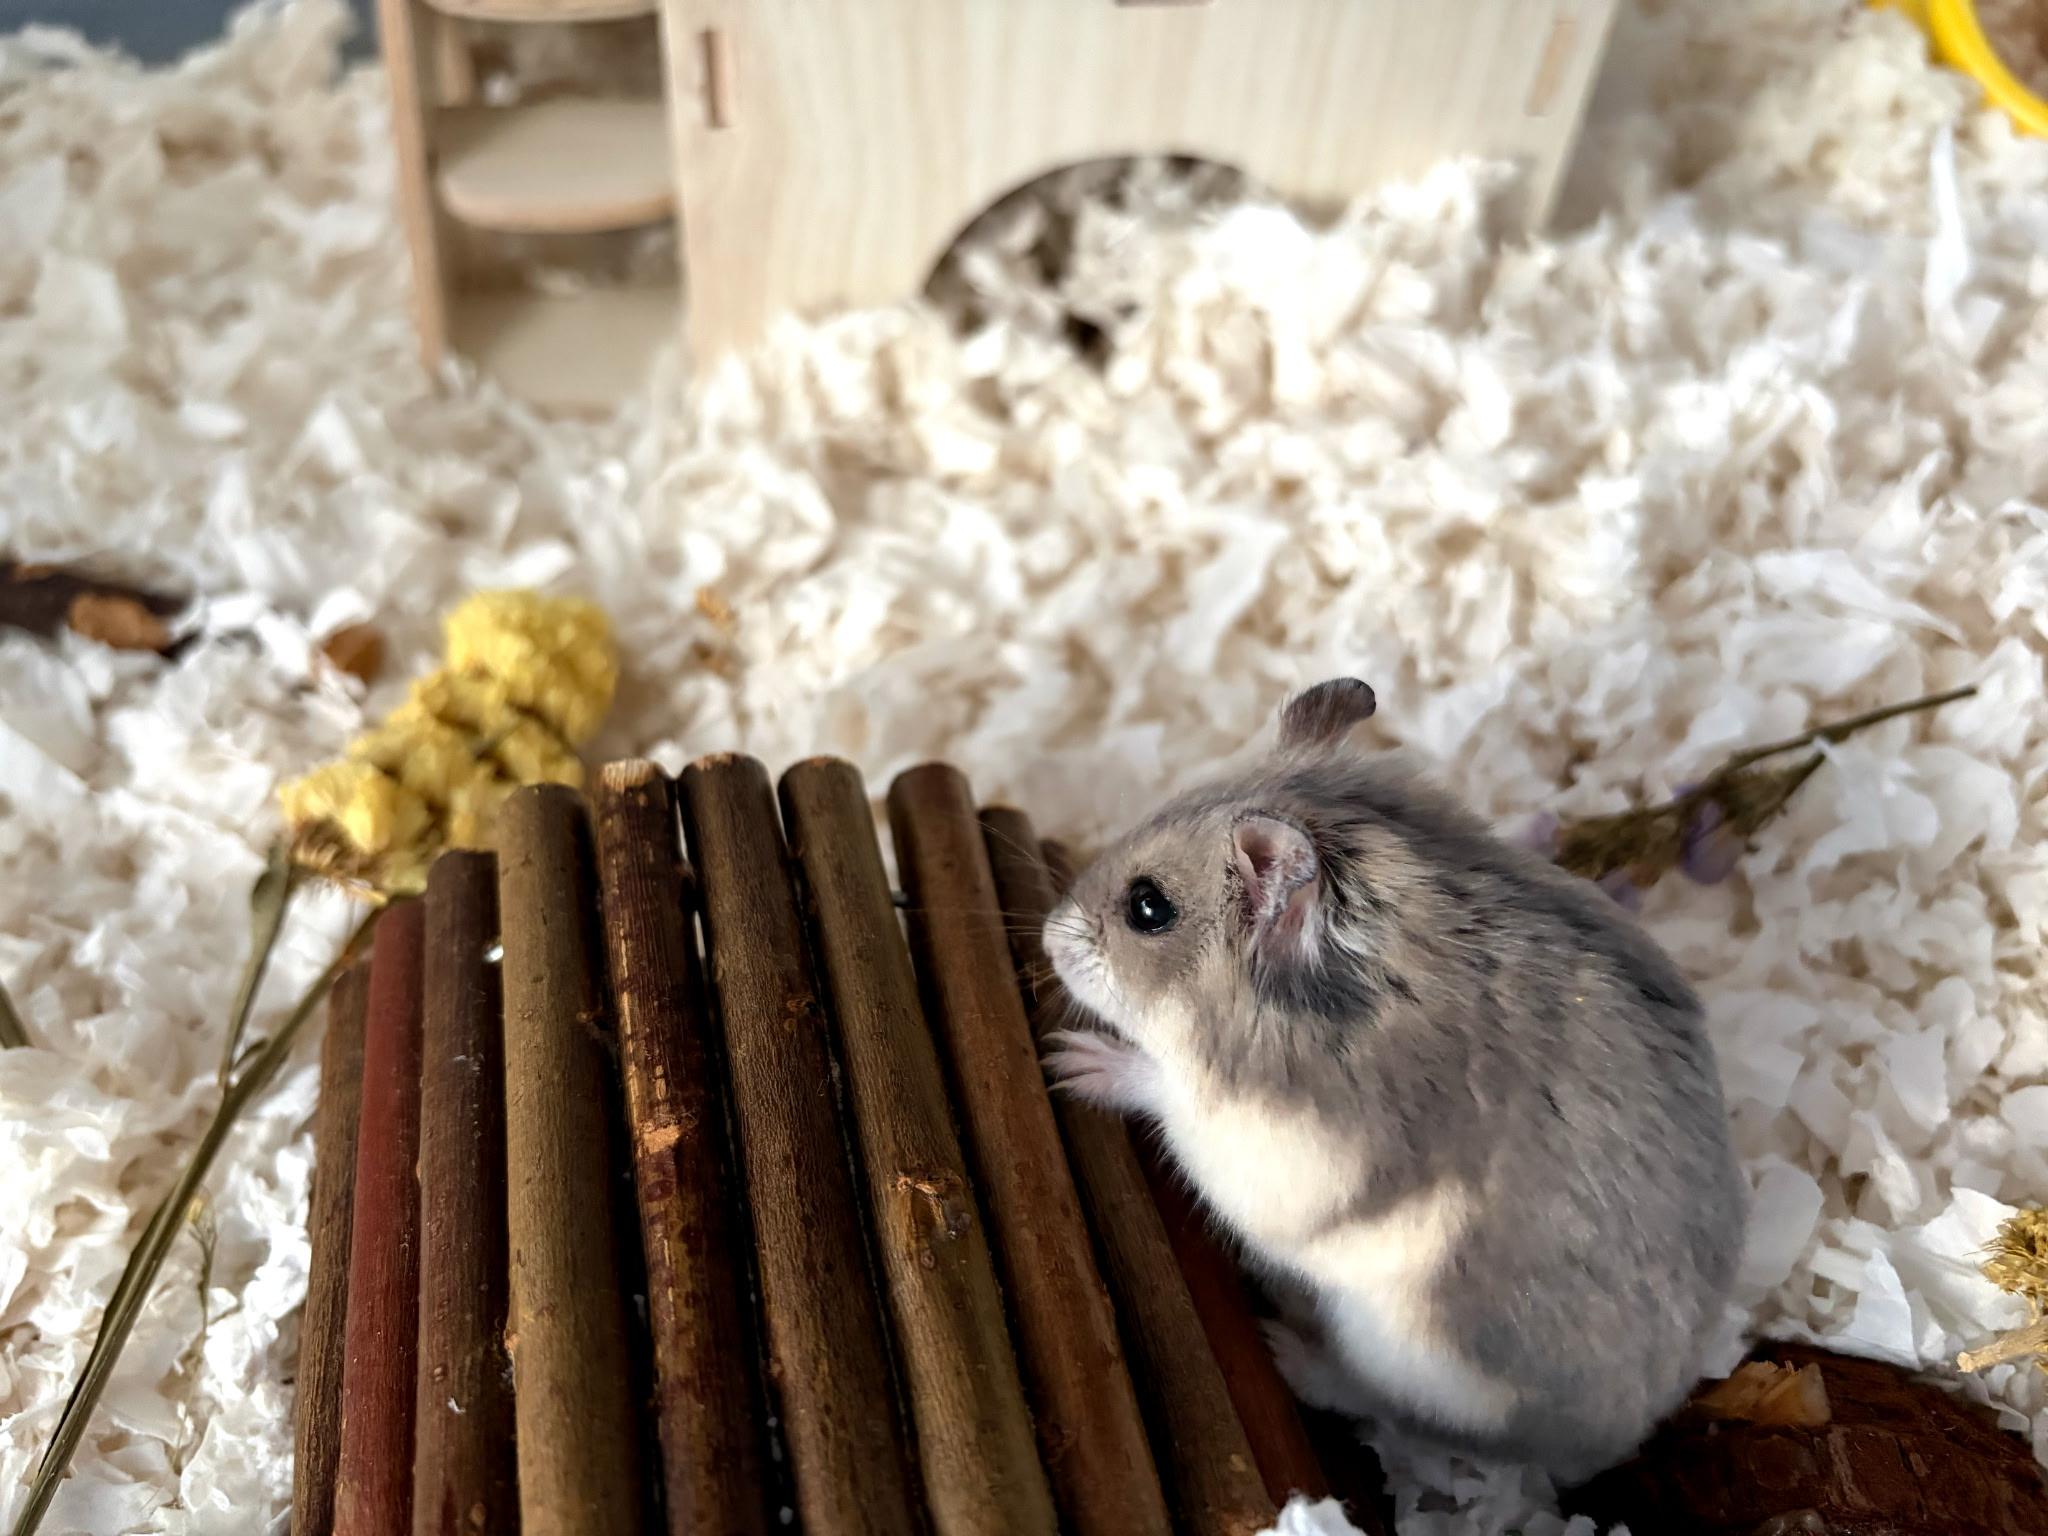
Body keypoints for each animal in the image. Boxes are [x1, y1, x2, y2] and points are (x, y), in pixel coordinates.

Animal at [1041, 679, 1745, 1483]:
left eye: (1148, 906)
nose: (1048, 937)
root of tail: (1621, 1441)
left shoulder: (1251, 1138)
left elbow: (1161, 1087)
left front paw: (1071, 1060)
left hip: (1402, 1351)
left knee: (1392, 1407)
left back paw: (1288, 1352)